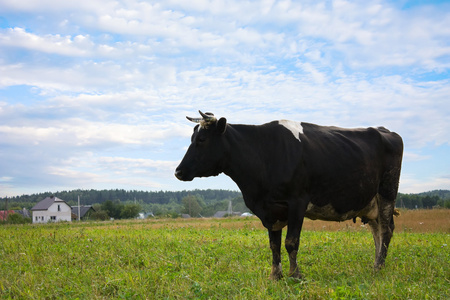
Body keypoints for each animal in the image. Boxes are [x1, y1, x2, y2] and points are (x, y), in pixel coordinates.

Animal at [175, 110, 404, 282]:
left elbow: (291, 242)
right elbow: (274, 245)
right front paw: (275, 276)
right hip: (369, 201)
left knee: (387, 230)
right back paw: (375, 266)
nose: (178, 171)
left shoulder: (297, 202)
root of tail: (385, 130)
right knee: (377, 230)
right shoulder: (270, 210)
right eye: (192, 138)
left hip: (387, 192)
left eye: (202, 139)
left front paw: (295, 276)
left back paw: (379, 267)